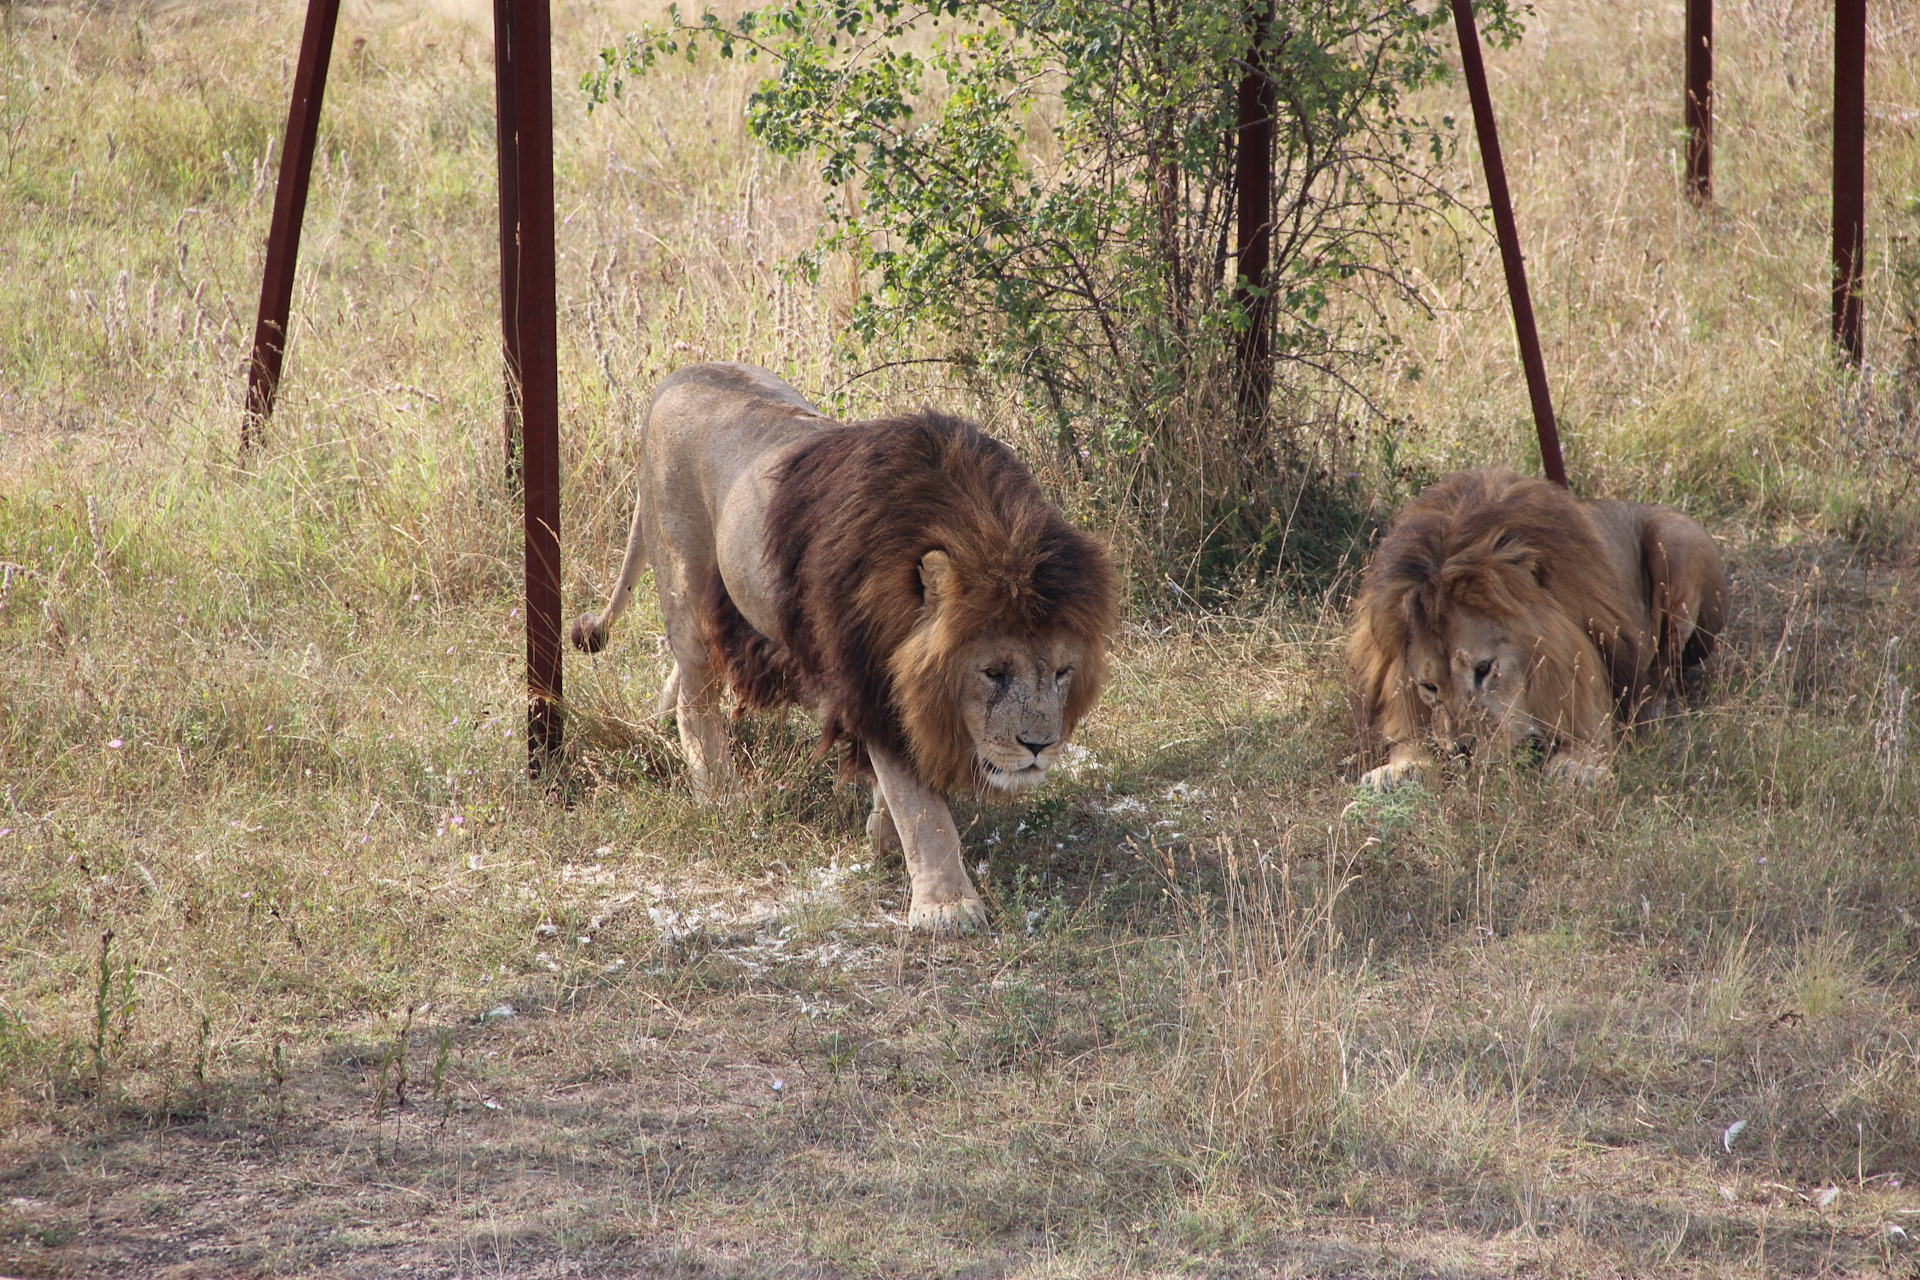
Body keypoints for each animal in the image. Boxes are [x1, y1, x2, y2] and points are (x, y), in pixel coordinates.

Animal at [568, 364, 1121, 936]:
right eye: (993, 673)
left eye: (1062, 673)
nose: (1039, 746)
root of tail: (681, 375)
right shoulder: (871, 681)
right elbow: (921, 808)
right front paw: (946, 906)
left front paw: (882, 836)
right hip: (686, 581)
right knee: (695, 698)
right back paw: (722, 797)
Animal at [1351, 470, 1728, 790]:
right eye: (1428, 686)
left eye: (1484, 669)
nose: (1461, 752)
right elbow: (1408, 734)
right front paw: (1400, 768)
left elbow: (1590, 724)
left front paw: (1578, 767)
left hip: (1675, 540)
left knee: (1665, 667)